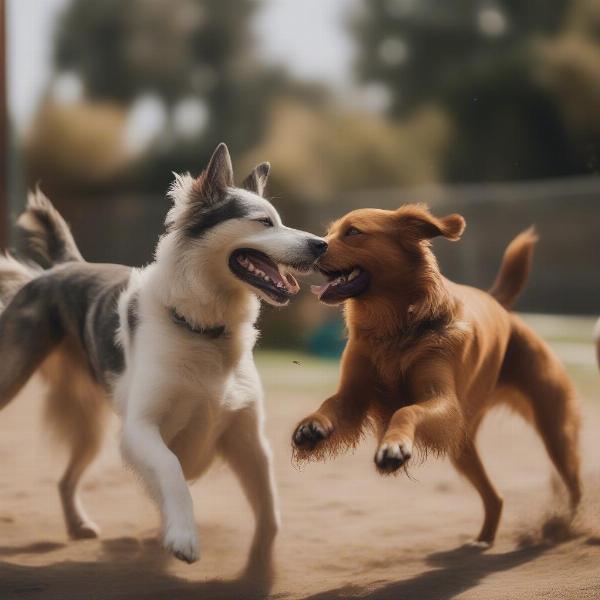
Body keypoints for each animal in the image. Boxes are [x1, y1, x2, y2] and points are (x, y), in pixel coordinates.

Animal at [0, 143, 328, 580]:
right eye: (263, 222)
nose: (322, 244)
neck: (204, 331)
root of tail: (63, 267)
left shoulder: (248, 438)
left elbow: (270, 514)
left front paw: (260, 570)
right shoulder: (140, 429)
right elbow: (172, 471)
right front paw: (183, 537)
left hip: (91, 428)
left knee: (65, 480)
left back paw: (78, 524)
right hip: (14, 380)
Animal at [294, 206, 580, 548]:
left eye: (353, 232)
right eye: (330, 232)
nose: (314, 245)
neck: (395, 327)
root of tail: (498, 303)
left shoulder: (441, 400)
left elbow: (407, 411)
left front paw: (394, 447)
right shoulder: (354, 396)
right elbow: (330, 405)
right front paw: (311, 428)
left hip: (555, 432)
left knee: (573, 487)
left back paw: (563, 526)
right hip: (463, 447)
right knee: (495, 498)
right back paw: (482, 541)